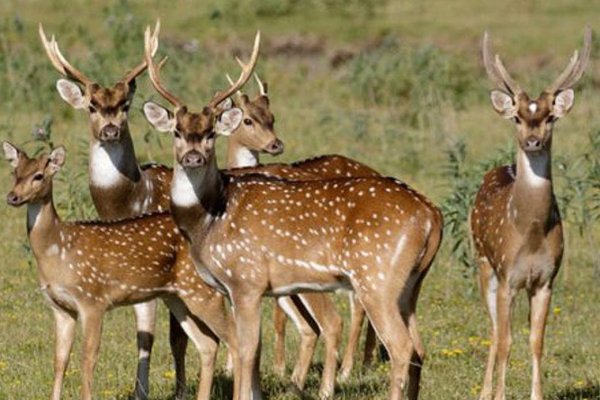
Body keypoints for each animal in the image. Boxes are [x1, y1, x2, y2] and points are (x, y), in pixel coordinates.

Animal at [2, 142, 237, 400]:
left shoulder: (93, 300)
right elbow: (60, 360)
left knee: (235, 340)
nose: (12, 197)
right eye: (15, 173)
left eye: (38, 176)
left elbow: (87, 359)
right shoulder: (60, 308)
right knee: (208, 344)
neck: (58, 249)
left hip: (204, 291)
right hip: (177, 297)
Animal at [37, 21, 191, 400]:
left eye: (124, 105)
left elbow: (173, 336)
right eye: (92, 105)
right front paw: (141, 391)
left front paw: (178, 390)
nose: (110, 129)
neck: (131, 200)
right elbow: (144, 333)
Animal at [139, 25, 440, 400]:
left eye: (210, 134)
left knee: (401, 348)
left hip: (378, 278)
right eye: (178, 132)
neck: (208, 221)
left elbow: (246, 349)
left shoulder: (247, 279)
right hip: (410, 285)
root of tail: (432, 215)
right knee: (420, 348)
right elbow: (251, 351)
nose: (193, 157)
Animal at [468, 27, 592, 400]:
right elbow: (506, 342)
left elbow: (536, 341)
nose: (533, 141)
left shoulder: (546, 279)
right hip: (483, 262)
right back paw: (484, 392)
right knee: (494, 331)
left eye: (550, 116)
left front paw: (537, 394)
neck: (531, 232)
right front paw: (498, 395)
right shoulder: (508, 276)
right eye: (518, 117)